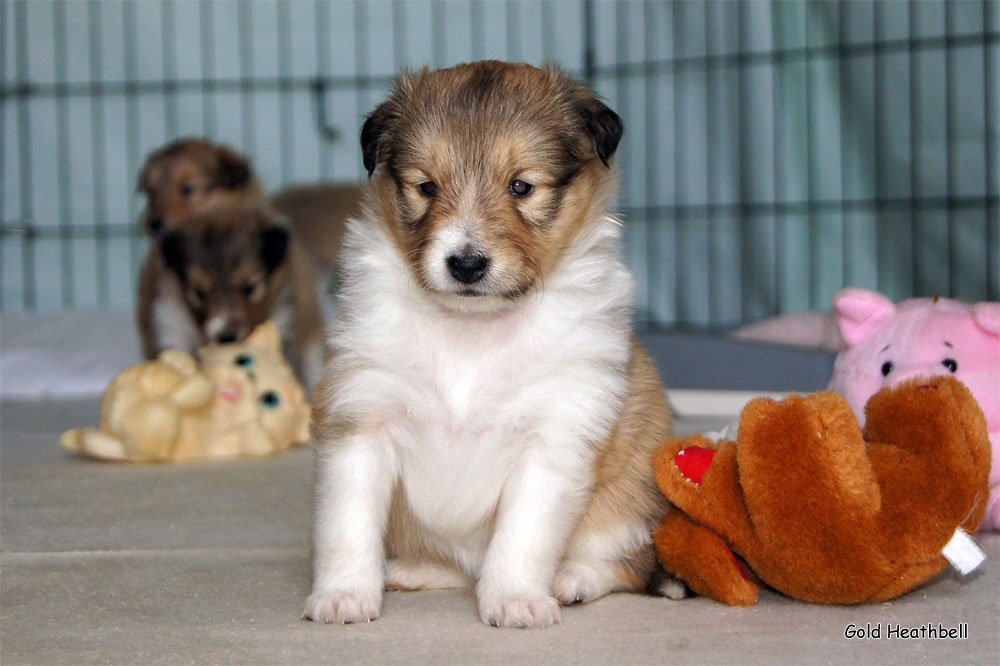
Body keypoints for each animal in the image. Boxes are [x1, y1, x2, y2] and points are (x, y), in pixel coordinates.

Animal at [304, 59, 676, 624]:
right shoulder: (362, 415)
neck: (471, 331)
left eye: (521, 186)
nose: (466, 264)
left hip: (628, 497)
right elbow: (347, 525)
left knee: (622, 564)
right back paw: (411, 570)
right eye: (426, 186)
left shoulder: (555, 433)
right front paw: (343, 595)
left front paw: (516, 600)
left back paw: (570, 580)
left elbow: (522, 534)